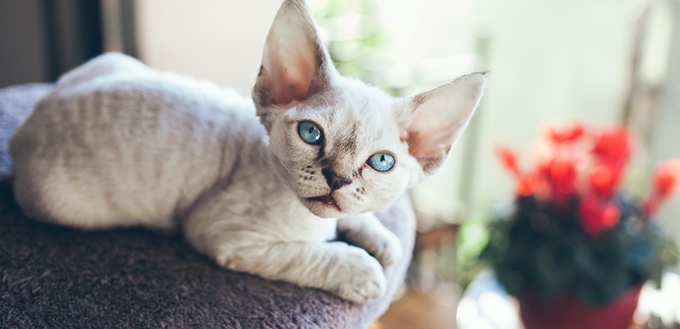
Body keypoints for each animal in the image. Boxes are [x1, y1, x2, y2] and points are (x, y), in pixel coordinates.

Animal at [7, 0, 486, 302]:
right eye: (311, 134)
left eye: (381, 163)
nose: (338, 178)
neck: (313, 222)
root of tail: (24, 128)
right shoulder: (223, 233)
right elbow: (314, 255)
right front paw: (365, 271)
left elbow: (363, 224)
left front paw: (383, 243)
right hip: (61, 205)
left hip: (113, 63)